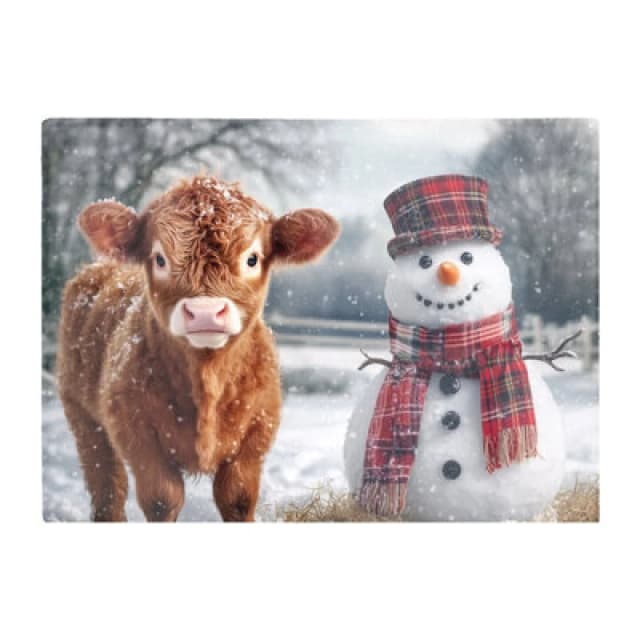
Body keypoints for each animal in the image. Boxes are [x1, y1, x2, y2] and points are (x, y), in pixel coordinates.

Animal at [57, 175, 339, 522]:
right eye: (160, 258)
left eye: (252, 258)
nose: (205, 312)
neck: (207, 380)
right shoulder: (135, 432)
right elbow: (162, 499)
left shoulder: (258, 431)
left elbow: (237, 498)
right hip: (83, 416)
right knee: (108, 488)